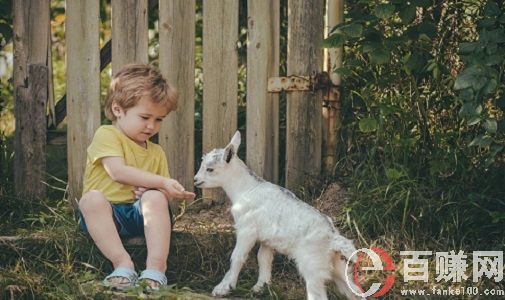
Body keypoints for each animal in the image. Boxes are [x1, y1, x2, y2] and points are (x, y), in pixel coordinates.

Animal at [195, 132, 360, 300]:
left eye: (210, 169)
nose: (195, 180)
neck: (246, 189)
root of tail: (333, 237)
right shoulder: (267, 240)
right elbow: (263, 259)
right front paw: (260, 287)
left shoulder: (247, 230)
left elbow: (238, 256)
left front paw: (223, 288)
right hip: (337, 266)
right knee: (354, 290)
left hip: (312, 264)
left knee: (318, 295)